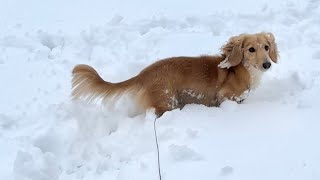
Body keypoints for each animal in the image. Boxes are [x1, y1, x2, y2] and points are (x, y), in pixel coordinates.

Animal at [72, 32, 278, 116]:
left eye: (266, 47)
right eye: (251, 49)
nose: (267, 64)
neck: (240, 70)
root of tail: (143, 74)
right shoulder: (226, 97)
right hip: (167, 101)